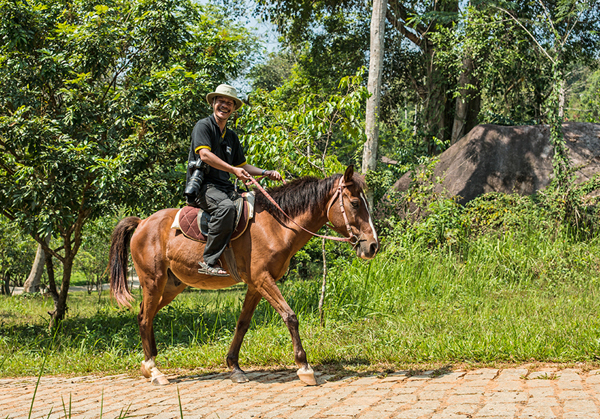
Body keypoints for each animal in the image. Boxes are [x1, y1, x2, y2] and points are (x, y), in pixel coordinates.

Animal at [109, 167, 376, 388]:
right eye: (354, 203)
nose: (373, 246)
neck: (275, 225)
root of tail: (142, 222)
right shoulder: (262, 279)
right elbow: (290, 316)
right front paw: (304, 367)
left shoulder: (256, 285)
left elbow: (243, 323)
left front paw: (234, 366)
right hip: (153, 282)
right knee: (145, 318)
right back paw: (155, 371)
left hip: (171, 286)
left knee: (146, 316)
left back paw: (149, 364)